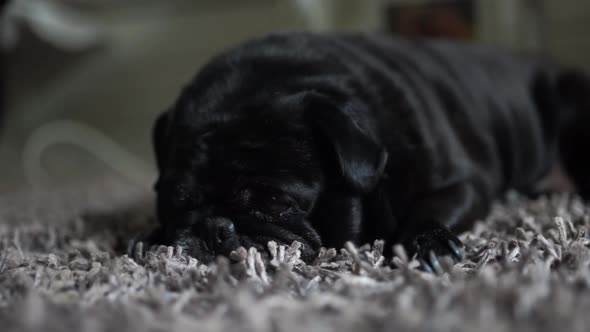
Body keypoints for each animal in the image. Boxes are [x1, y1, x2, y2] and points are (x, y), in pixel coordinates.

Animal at [142, 31, 590, 270]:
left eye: (275, 201)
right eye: (174, 202)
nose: (215, 227)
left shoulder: (464, 184)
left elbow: (429, 210)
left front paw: (427, 245)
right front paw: (146, 240)